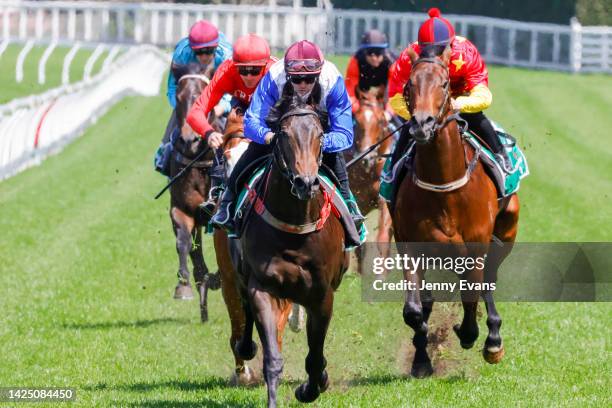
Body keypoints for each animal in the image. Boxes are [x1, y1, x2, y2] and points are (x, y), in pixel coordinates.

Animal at [234, 96, 350, 408]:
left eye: (320, 135)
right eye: (284, 134)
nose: (305, 183)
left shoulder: (321, 295)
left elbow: (315, 357)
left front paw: (312, 387)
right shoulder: (263, 287)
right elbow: (273, 359)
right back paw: (245, 346)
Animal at [346, 85, 394, 274]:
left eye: (381, 121)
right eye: (356, 123)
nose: (367, 158)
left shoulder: (384, 198)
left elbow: (383, 235)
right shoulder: (360, 201)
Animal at [394, 47, 520, 376]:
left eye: (444, 84)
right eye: (409, 85)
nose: (421, 124)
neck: (444, 186)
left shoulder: (476, 244)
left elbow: (472, 292)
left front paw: (469, 333)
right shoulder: (410, 244)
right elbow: (415, 310)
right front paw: (422, 358)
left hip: (507, 232)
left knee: (487, 279)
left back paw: (492, 339)